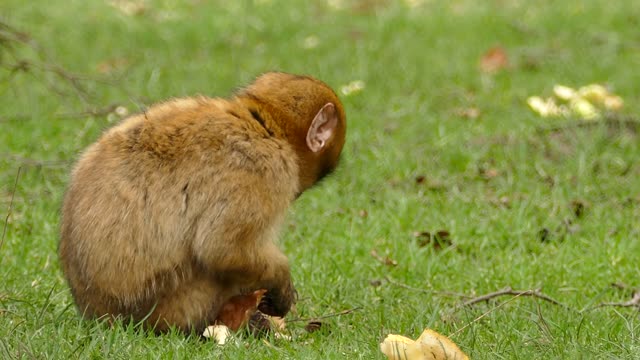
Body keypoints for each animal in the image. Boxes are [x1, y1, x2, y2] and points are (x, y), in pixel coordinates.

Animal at [59, 71, 348, 334]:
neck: (263, 126)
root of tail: (97, 314)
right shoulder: (263, 169)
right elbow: (221, 249)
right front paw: (281, 284)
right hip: (177, 304)